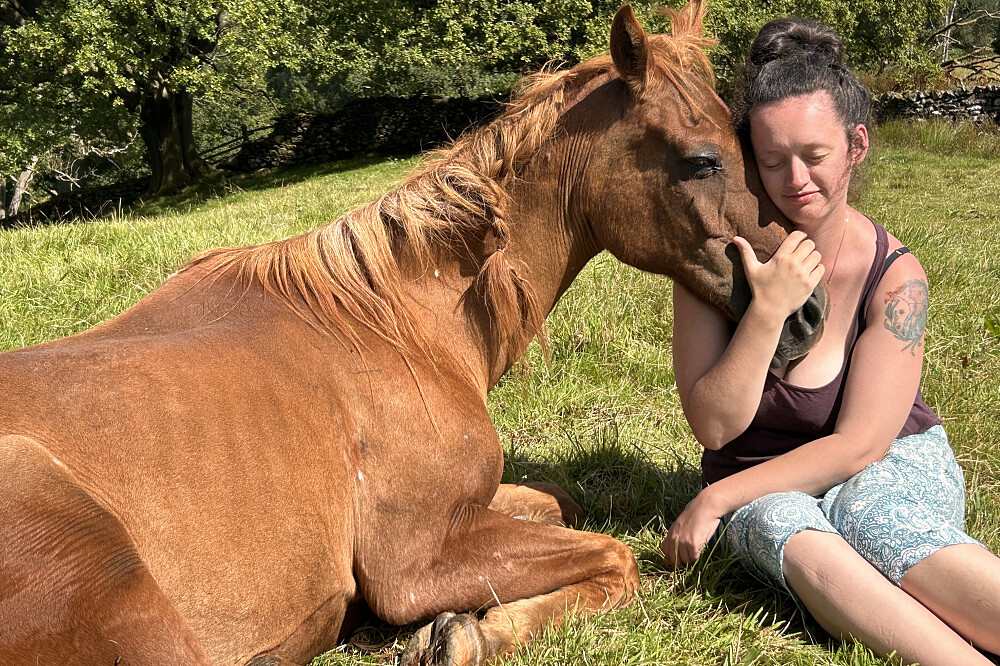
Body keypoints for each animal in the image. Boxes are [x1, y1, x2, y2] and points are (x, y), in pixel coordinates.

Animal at [0, 3, 826, 665]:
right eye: (702, 159)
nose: (809, 314)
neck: (398, 324)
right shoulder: (415, 560)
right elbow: (616, 559)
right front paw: (466, 633)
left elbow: (561, 499)